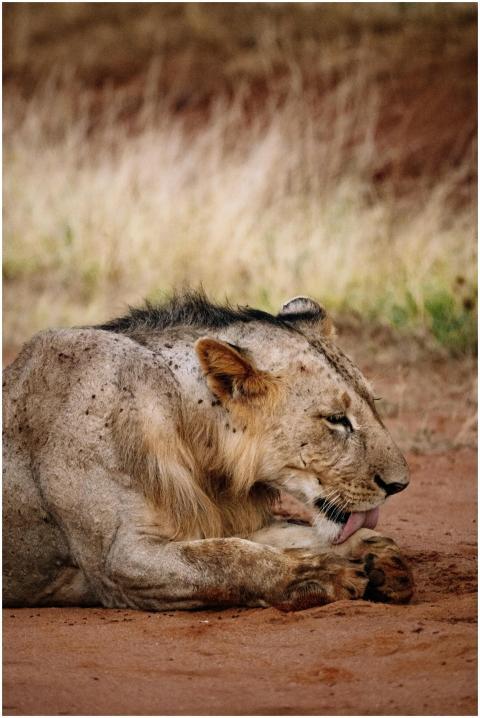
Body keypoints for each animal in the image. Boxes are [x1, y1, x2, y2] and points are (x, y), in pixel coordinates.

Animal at [3, 291, 413, 610]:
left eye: (373, 401)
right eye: (336, 419)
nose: (401, 485)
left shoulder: (221, 518)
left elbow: (291, 535)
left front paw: (377, 553)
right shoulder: (117, 560)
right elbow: (226, 558)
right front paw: (320, 575)